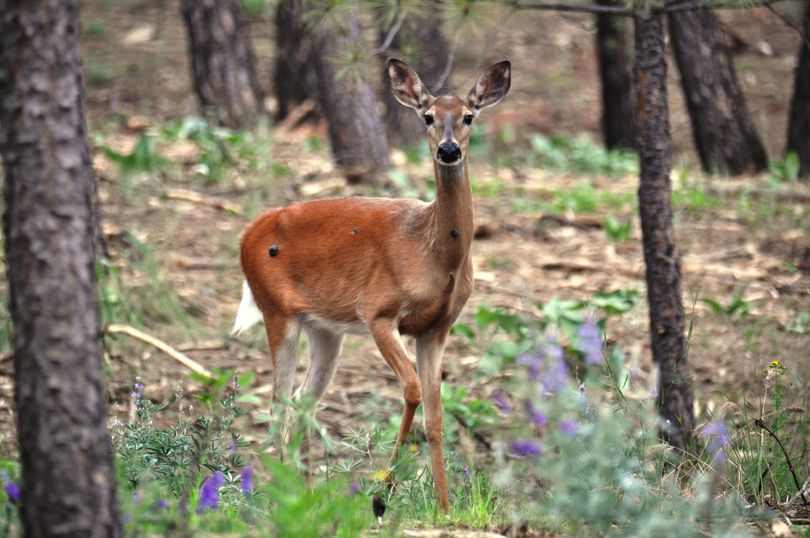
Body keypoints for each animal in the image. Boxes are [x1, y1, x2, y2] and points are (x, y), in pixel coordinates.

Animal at [234, 59, 508, 510]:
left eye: (469, 116)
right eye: (427, 116)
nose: (448, 150)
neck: (432, 251)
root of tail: (245, 236)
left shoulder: (437, 328)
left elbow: (436, 416)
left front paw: (445, 506)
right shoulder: (377, 310)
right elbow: (412, 389)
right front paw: (383, 490)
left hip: (324, 329)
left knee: (302, 403)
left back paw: (307, 497)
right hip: (277, 311)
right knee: (278, 407)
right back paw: (282, 500)